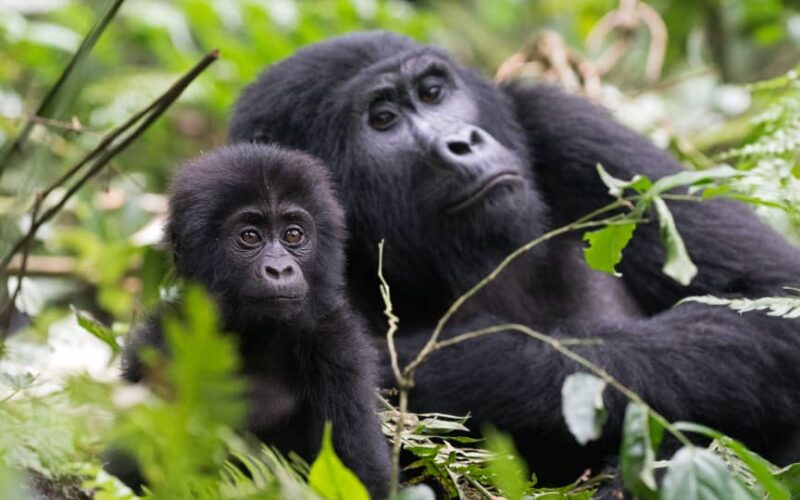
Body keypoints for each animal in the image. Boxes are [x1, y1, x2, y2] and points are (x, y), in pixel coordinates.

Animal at [119, 144, 390, 496]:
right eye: (249, 236)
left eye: (293, 234)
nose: (279, 269)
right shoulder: (157, 348)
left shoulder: (340, 350)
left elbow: (362, 476)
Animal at [228, 32, 800, 484]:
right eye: (383, 119)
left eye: (433, 93)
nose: (461, 141)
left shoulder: (563, 123)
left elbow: (769, 296)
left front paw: (448, 369)